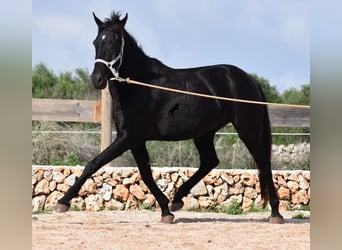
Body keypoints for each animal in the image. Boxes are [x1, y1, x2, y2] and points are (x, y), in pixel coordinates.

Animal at [53, 11, 284, 224]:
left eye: (114, 41)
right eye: (96, 42)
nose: (97, 79)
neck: (139, 86)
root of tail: (250, 79)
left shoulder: (128, 137)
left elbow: (94, 164)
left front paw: (62, 203)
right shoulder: (134, 140)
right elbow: (145, 173)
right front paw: (166, 210)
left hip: (247, 129)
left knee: (263, 162)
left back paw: (275, 213)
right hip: (204, 133)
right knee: (210, 161)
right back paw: (178, 199)